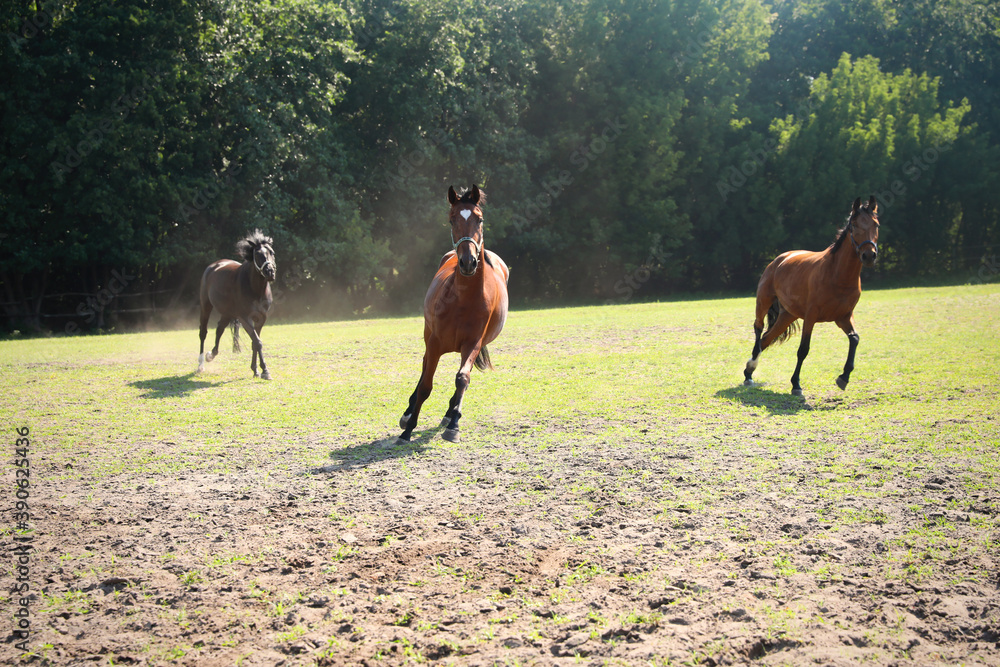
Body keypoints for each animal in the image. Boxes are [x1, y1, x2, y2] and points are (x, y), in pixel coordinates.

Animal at [198, 230, 277, 379]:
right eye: (257, 254)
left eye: (272, 252)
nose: (270, 272)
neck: (255, 289)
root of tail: (214, 266)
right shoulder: (245, 318)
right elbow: (257, 342)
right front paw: (265, 370)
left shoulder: (261, 318)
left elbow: (255, 342)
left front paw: (256, 370)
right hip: (206, 306)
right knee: (203, 333)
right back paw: (200, 365)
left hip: (227, 313)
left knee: (219, 329)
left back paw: (211, 355)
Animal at [397, 185, 510, 443]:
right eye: (452, 220)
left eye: (479, 219)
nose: (468, 262)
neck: (464, 299)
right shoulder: (435, 342)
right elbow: (426, 384)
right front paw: (409, 428)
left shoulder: (473, 343)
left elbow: (462, 378)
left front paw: (453, 424)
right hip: (428, 335)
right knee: (424, 366)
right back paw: (408, 413)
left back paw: (451, 414)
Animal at [742, 196, 879, 395]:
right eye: (854, 225)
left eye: (876, 225)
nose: (869, 255)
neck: (837, 274)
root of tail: (780, 259)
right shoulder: (811, 316)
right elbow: (803, 349)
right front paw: (796, 384)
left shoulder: (844, 317)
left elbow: (855, 339)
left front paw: (844, 377)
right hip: (764, 302)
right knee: (758, 329)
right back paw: (751, 367)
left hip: (788, 315)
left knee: (766, 339)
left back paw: (749, 373)